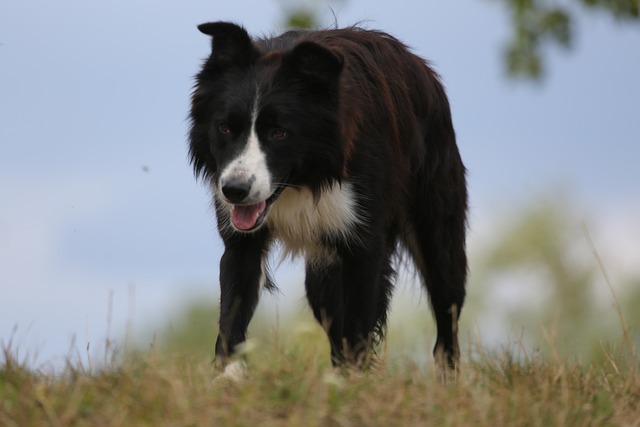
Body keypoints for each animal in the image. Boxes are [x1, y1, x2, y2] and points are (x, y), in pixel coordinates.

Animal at [188, 21, 468, 372]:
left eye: (279, 132)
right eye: (225, 127)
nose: (235, 191)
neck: (305, 180)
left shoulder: (363, 231)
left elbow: (359, 318)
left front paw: (353, 381)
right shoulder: (241, 236)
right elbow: (233, 305)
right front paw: (229, 377)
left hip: (436, 210)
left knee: (447, 304)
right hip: (322, 271)